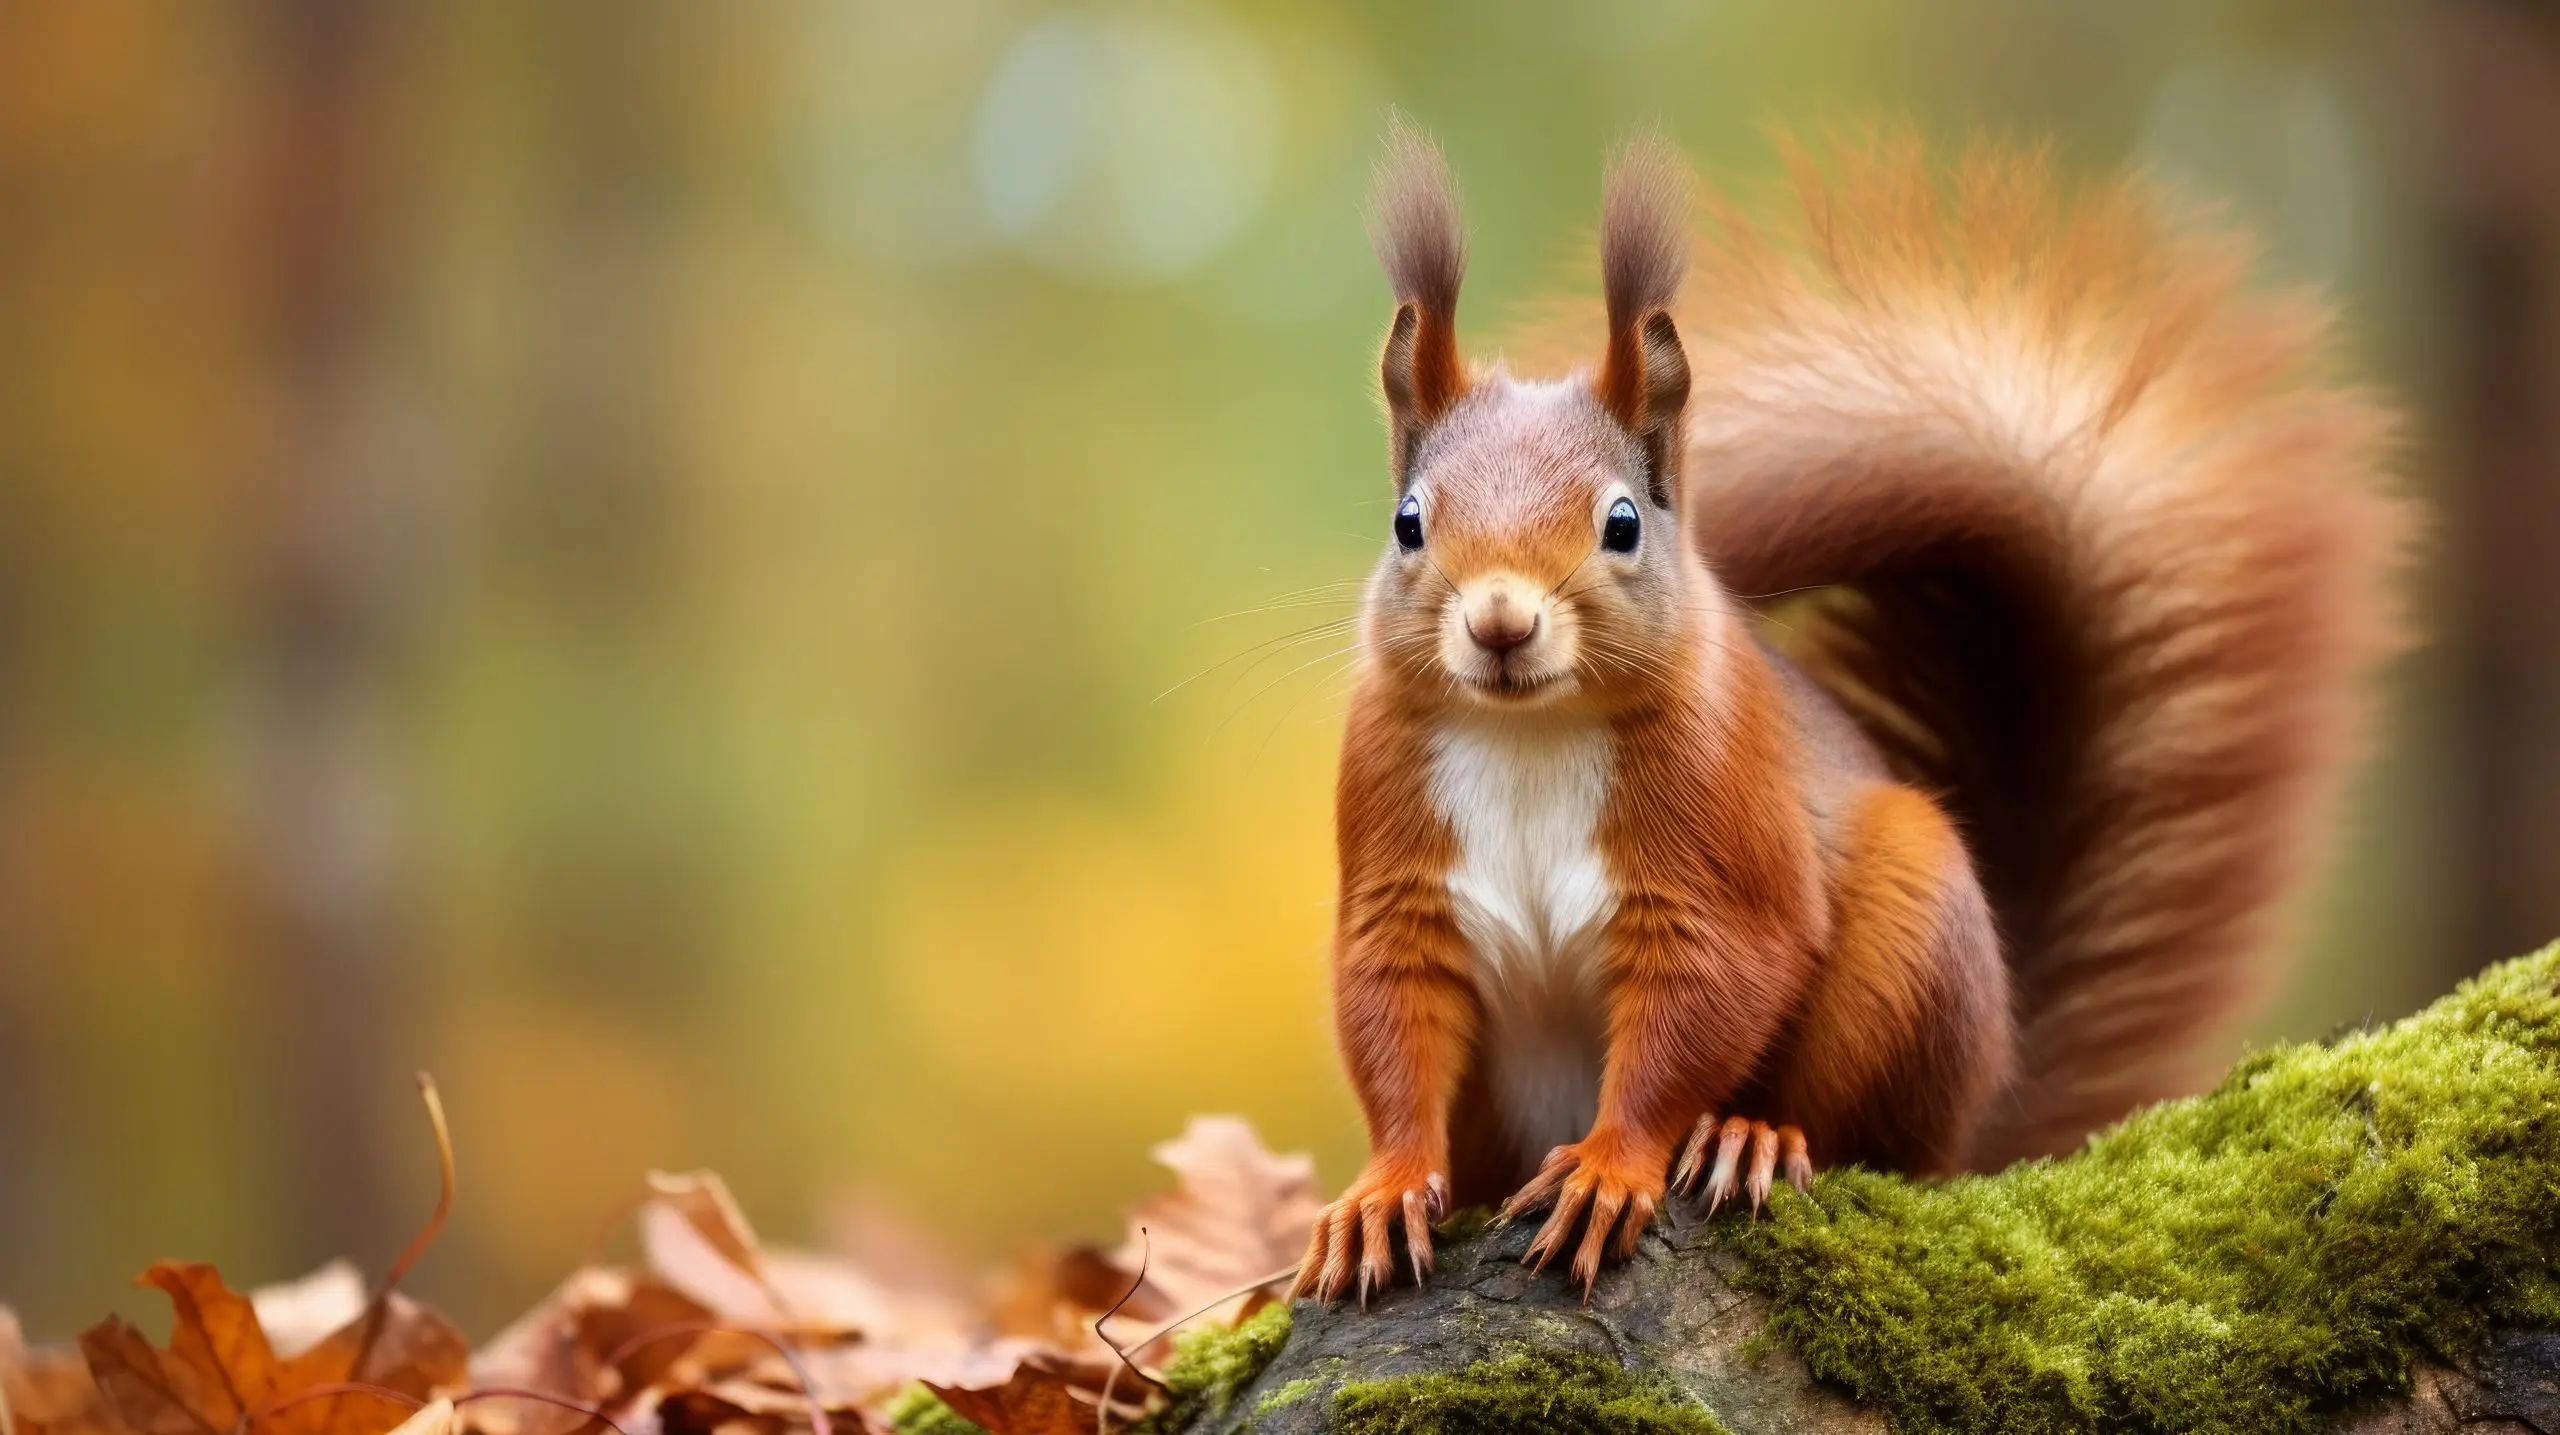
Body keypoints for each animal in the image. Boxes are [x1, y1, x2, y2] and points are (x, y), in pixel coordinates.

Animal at [1290, 121, 2408, 1305]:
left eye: (1623, 523)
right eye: (1408, 522)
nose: (1500, 621)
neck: (1528, 733)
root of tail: (1983, 1104)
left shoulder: (1719, 834)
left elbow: (1702, 1000)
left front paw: (1608, 1165)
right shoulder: (1394, 854)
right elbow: (1390, 1019)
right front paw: (1381, 1192)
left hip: (1911, 941)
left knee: (1858, 1140)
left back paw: (1754, 1138)